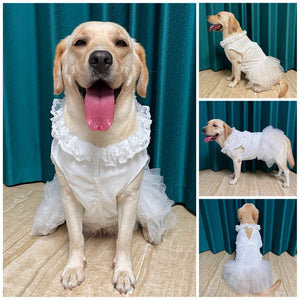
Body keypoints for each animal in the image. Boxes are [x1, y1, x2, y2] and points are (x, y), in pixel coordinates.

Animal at [31, 21, 176, 292]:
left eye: (121, 43)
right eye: (79, 42)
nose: (100, 58)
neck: (99, 141)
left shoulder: (129, 197)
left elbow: (124, 240)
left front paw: (123, 272)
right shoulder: (69, 196)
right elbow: (75, 238)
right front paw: (73, 268)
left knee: (150, 215)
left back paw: (152, 231)